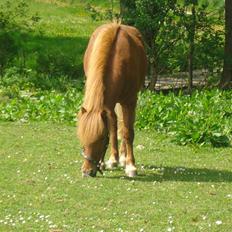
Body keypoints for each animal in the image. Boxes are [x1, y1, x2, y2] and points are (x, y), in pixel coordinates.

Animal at [78, 22, 147, 178]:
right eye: (82, 139)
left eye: (101, 139)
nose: (87, 172)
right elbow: (112, 128)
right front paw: (107, 161)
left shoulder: (130, 101)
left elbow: (128, 132)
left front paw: (131, 166)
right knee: (115, 125)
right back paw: (114, 159)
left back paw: (122, 158)